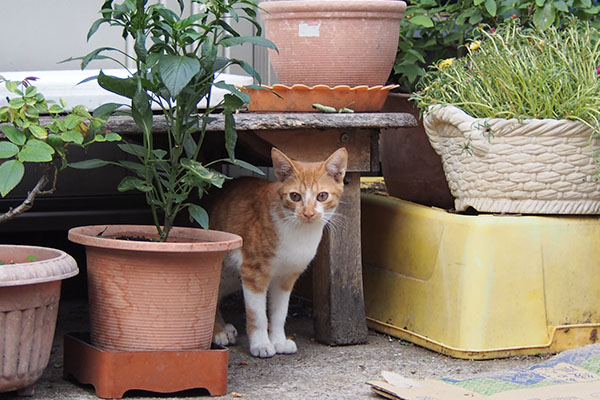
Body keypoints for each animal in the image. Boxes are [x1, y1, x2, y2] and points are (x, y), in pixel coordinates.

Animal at [210, 148, 346, 360]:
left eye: (322, 196)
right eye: (295, 196)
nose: (308, 213)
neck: (298, 233)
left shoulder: (286, 277)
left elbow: (280, 313)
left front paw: (279, 341)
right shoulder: (253, 273)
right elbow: (258, 315)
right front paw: (261, 344)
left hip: (232, 277)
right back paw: (218, 332)